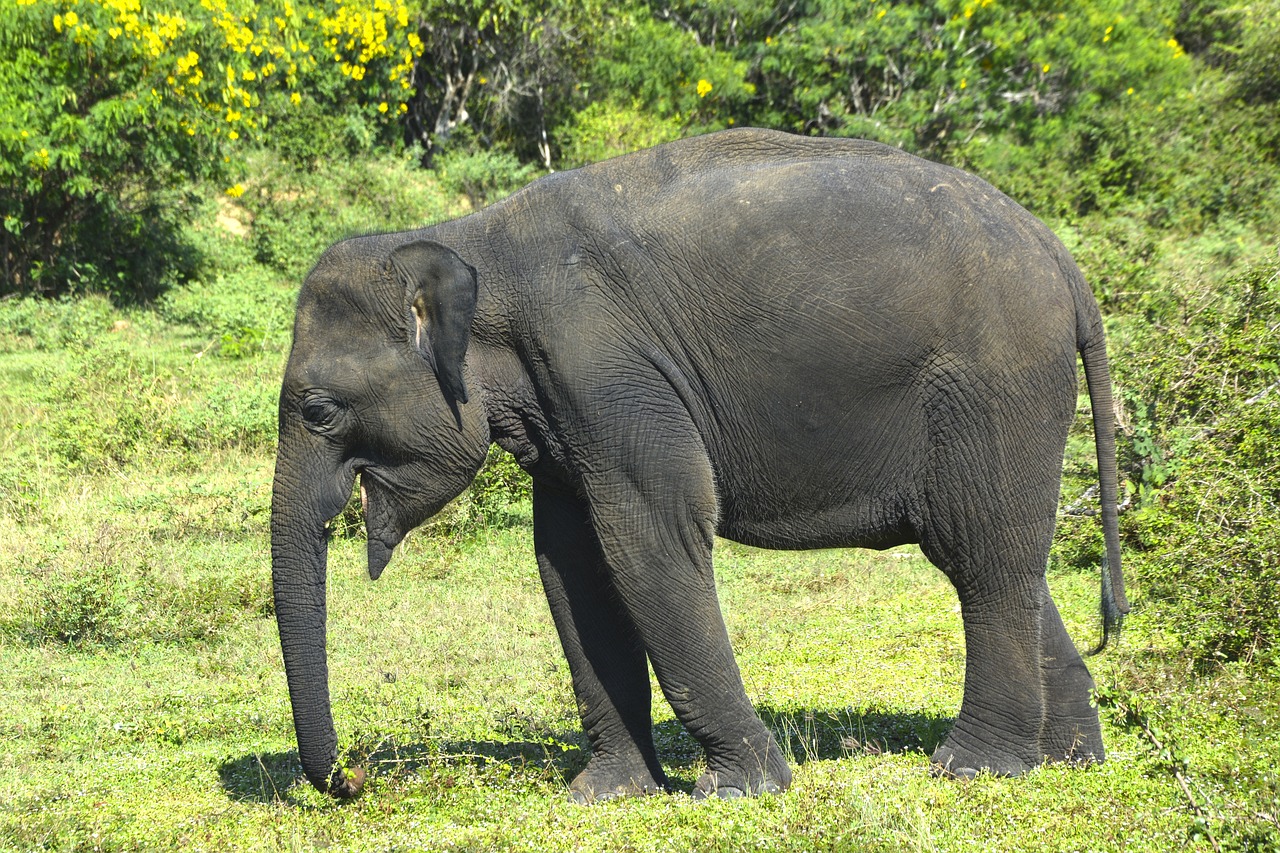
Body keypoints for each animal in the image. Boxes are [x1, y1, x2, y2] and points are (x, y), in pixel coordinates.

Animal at [272, 126, 1131, 799]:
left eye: (320, 411)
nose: (355, 776)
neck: (473, 239)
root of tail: (1065, 262)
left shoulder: (607, 369)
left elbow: (650, 537)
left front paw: (743, 787)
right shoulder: (563, 403)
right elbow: (570, 565)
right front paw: (607, 793)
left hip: (993, 382)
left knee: (979, 552)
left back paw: (972, 768)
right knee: (1001, 553)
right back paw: (1073, 759)